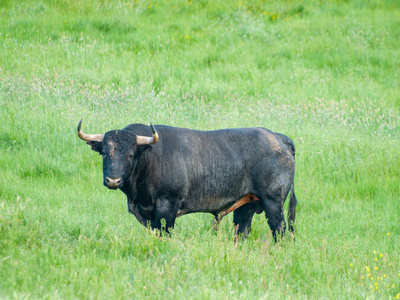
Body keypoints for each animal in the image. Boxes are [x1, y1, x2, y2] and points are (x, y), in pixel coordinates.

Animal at [78, 120, 296, 240]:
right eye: (105, 153)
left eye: (131, 154)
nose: (113, 180)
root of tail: (278, 137)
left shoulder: (167, 208)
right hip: (246, 205)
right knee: (241, 230)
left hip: (273, 203)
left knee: (279, 229)